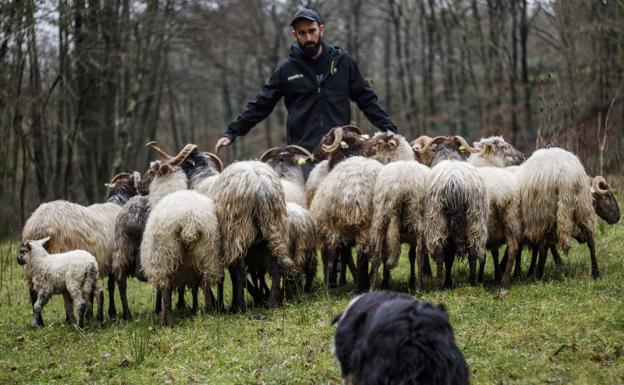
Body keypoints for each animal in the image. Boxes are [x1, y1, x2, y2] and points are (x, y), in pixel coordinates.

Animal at [22, 171, 140, 318]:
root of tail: (40, 223)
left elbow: (94, 291)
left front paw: (92, 314)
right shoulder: (114, 259)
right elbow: (112, 286)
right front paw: (112, 312)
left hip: (32, 262)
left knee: (32, 291)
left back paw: (40, 320)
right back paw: (67, 318)